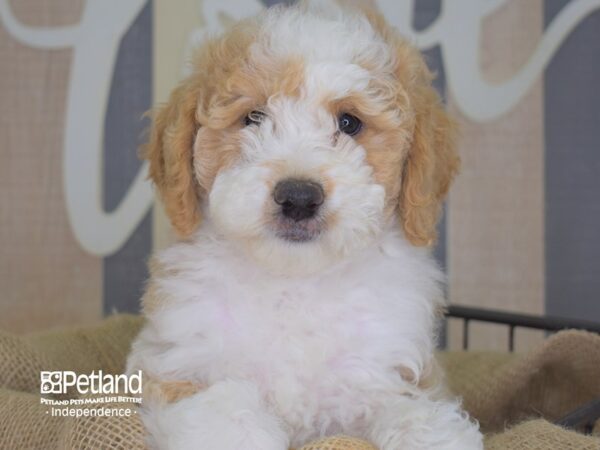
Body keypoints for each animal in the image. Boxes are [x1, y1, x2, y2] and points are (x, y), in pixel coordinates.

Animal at [126, 0, 482, 450]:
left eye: (349, 123)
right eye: (253, 117)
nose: (298, 197)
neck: (294, 283)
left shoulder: (394, 372)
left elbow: (415, 413)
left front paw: (432, 434)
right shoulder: (178, 365)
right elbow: (225, 413)